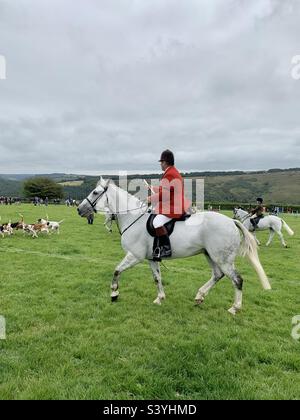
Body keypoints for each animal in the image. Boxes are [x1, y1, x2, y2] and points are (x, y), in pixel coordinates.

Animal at [76, 178, 270, 316]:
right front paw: (160, 298)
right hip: (210, 255)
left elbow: (116, 270)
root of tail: (231, 221)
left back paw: (234, 308)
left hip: (222, 258)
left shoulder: (134, 256)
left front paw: (114, 294)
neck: (133, 217)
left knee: (237, 280)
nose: (79, 209)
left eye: (95, 192)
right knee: (217, 275)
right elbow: (157, 278)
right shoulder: (151, 258)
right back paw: (199, 296)